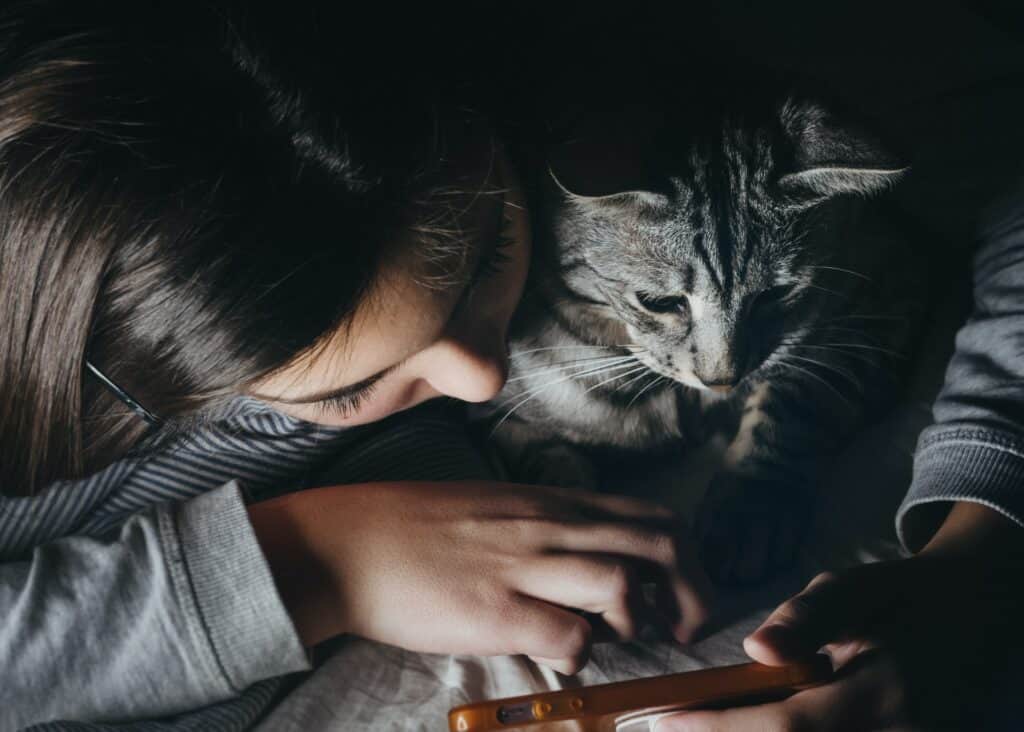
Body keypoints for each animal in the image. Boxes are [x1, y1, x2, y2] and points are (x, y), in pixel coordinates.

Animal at [479, 90, 929, 585]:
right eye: (658, 302)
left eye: (775, 294)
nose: (722, 379)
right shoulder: (497, 413)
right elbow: (546, 469)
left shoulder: (886, 296)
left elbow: (795, 401)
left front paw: (749, 511)